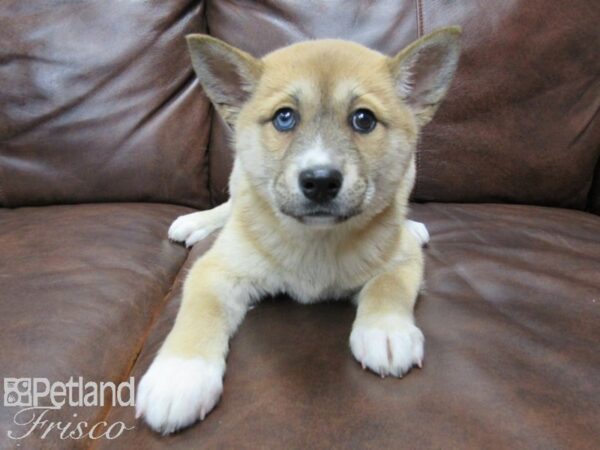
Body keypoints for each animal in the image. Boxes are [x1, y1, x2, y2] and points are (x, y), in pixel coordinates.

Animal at [137, 27, 460, 432]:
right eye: (284, 118)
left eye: (364, 120)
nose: (320, 182)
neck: (316, 240)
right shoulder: (216, 270)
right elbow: (200, 311)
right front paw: (179, 377)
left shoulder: (403, 259)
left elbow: (388, 286)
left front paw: (386, 331)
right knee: (231, 204)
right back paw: (197, 223)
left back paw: (412, 224)